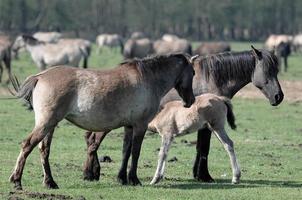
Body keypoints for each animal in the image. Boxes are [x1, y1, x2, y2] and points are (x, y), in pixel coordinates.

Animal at [9, 52, 196, 189]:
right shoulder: (140, 125)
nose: (191, 101)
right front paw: (134, 179)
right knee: (28, 145)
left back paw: (50, 182)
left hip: (50, 125)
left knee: (44, 150)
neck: (148, 79)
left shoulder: (129, 126)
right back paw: (17, 180)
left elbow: (126, 151)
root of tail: (40, 76)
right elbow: (135, 152)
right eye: (193, 73)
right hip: (47, 123)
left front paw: (122, 178)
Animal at [82, 46, 284, 184]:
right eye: (268, 71)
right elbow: (203, 148)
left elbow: (200, 148)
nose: (278, 96)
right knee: (93, 142)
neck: (212, 77)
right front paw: (204, 176)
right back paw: (90, 173)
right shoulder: (207, 126)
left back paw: (94, 173)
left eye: (277, 70)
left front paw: (198, 174)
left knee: (92, 141)